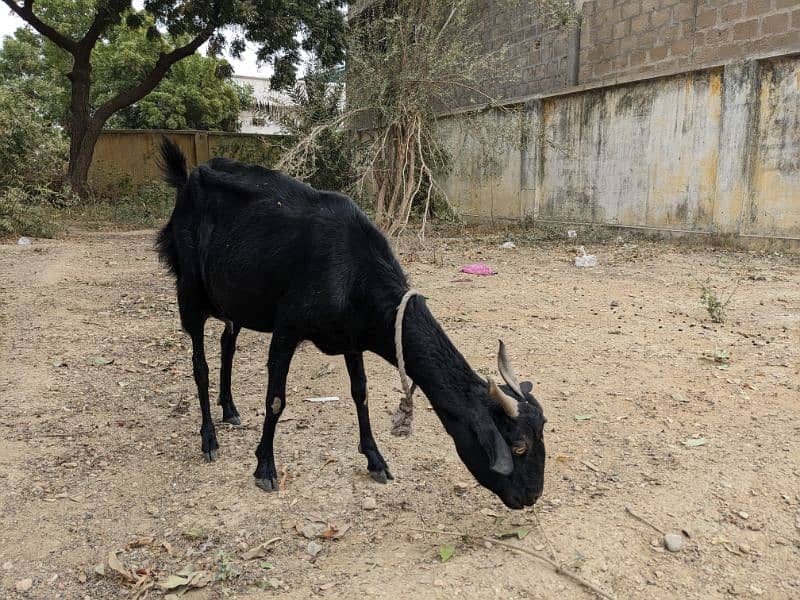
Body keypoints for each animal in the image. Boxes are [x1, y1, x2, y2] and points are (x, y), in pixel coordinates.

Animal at [154, 138, 548, 508]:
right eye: (519, 447)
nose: (530, 497)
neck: (352, 269)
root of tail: (187, 182)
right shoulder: (287, 328)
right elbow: (276, 399)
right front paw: (265, 467)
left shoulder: (351, 337)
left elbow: (361, 393)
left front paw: (376, 460)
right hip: (190, 289)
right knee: (199, 363)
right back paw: (209, 438)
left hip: (233, 300)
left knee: (228, 345)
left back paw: (231, 410)